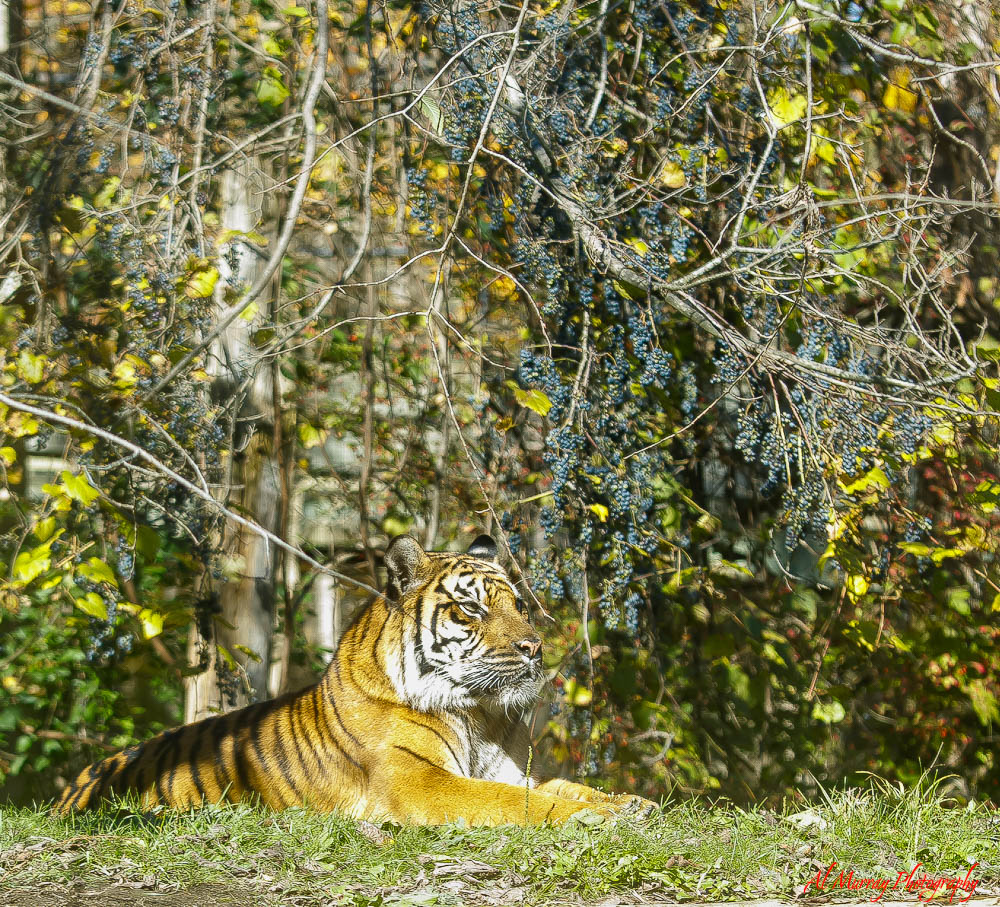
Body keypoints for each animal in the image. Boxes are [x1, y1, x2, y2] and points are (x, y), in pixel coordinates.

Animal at [54, 536, 656, 828]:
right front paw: (600, 817)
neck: (479, 713)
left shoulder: (512, 770)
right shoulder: (418, 781)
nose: (534, 648)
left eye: (519, 606)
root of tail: (73, 786)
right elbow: (516, 804)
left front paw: (629, 803)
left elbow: (560, 787)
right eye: (470, 609)